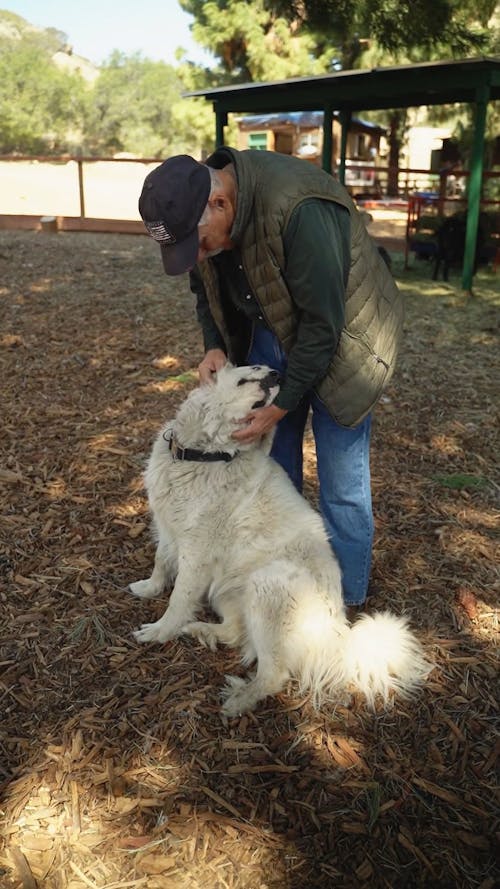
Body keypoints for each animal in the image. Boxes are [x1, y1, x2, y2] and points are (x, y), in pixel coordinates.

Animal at [130, 364, 430, 720]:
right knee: (236, 632)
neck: (202, 456)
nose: (277, 374)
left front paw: (160, 632)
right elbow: (161, 562)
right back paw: (202, 631)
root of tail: (337, 634)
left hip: (267, 584)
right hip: (231, 590)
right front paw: (149, 588)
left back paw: (239, 700)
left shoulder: (196, 551)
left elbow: (178, 598)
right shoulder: (168, 526)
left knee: (274, 674)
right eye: (250, 374)